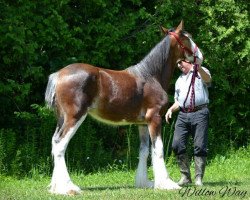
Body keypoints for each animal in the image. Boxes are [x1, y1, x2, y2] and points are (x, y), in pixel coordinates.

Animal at [45, 21, 203, 195]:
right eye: (188, 38)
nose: (200, 56)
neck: (151, 76)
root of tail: (58, 75)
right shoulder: (155, 119)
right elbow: (158, 149)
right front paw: (166, 183)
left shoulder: (143, 123)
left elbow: (144, 151)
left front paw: (144, 182)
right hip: (74, 117)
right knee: (60, 144)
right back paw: (69, 187)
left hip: (62, 118)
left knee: (54, 142)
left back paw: (56, 187)